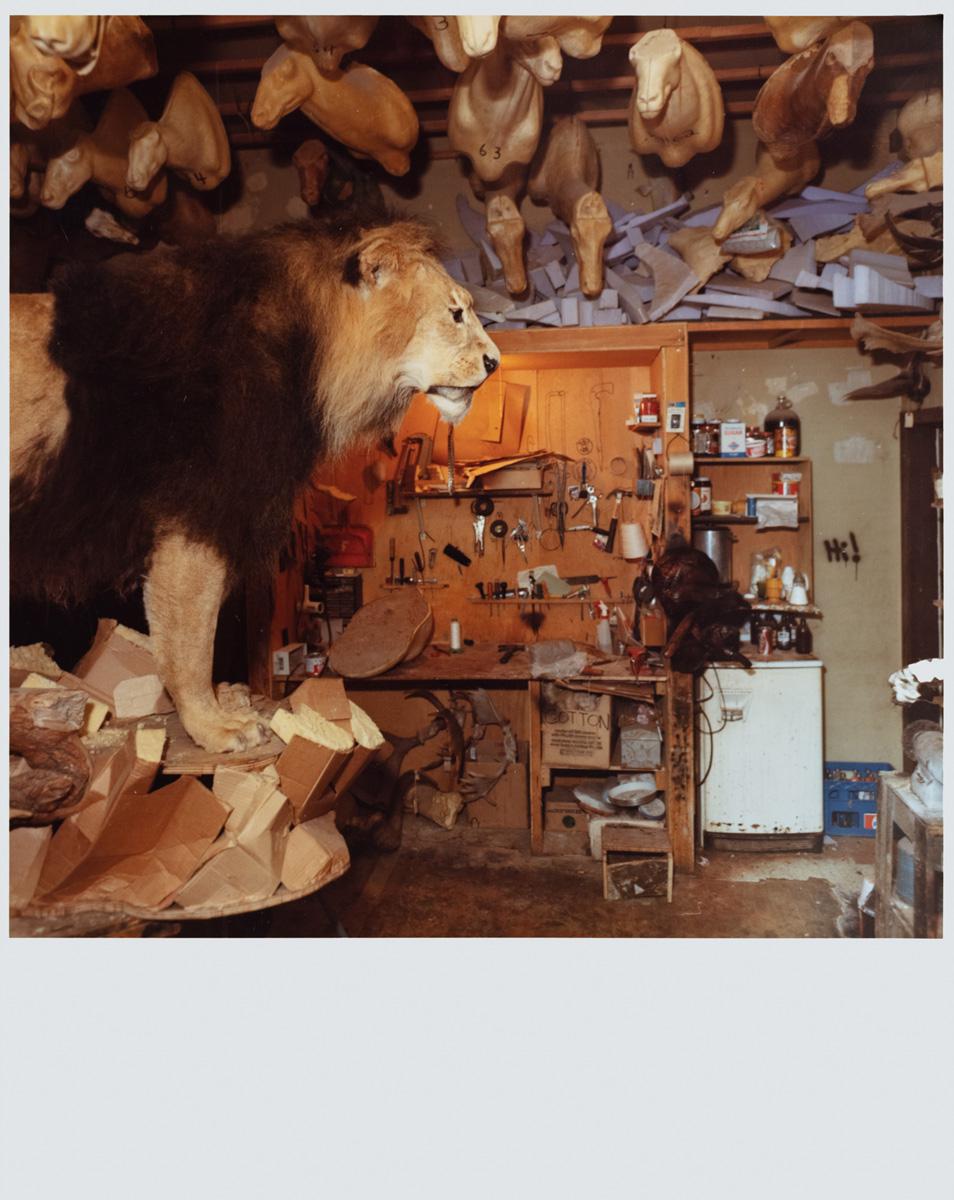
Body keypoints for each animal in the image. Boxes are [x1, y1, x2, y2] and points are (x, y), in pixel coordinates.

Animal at [11, 211, 499, 744]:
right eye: (455, 314)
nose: (495, 363)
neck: (308, 346)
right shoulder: (202, 515)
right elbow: (190, 639)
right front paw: (215, 726)